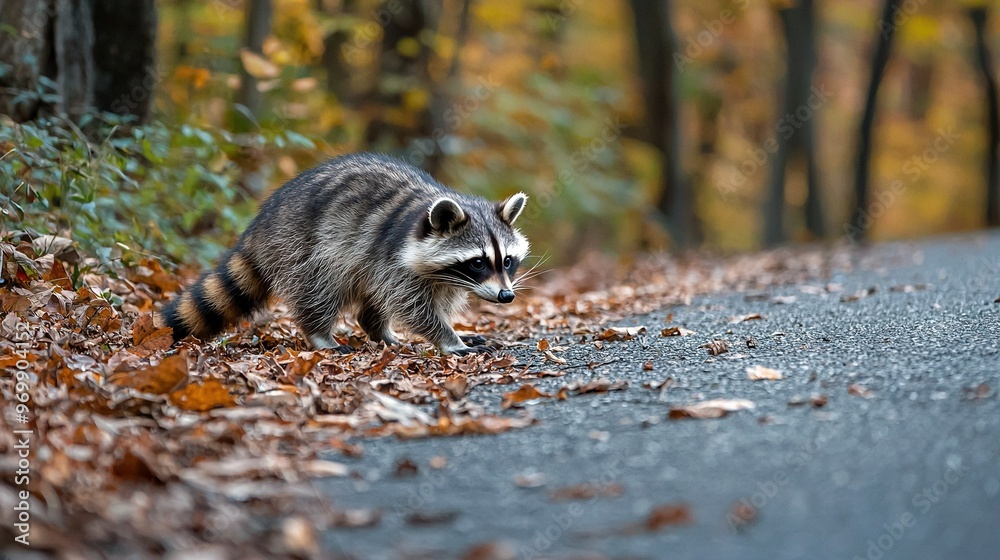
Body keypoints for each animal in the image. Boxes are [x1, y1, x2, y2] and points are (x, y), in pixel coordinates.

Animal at [160, 153, 530, 355]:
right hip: (302, 245)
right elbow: (411, 306)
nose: (506, 296)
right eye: (478, 262)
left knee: (368, 297)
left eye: (507, 261)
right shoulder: (393, 259)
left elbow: (432, 301)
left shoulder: (442, 278)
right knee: (320, 287)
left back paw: (379, 331)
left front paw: (452, 329)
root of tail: (259, 225)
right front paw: (448, 339)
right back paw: (321, 333)